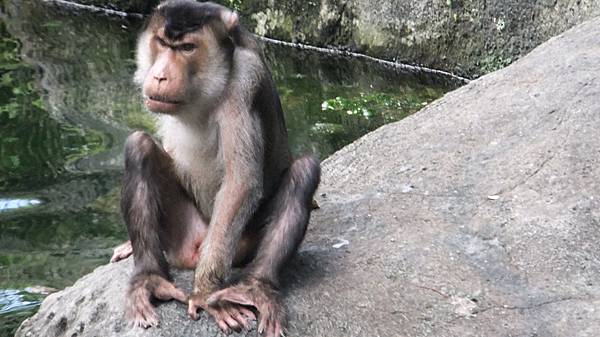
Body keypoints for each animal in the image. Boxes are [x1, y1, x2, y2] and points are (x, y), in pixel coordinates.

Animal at [109, 1, 322, 334]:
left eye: (187, 47)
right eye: (163, 43)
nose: (160, 77)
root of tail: (197, 246)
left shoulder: (244, 81)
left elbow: (241, 182)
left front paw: (206, 291)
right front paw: (128, 245)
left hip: (241, 243)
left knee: (304, 171)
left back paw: (256, 285)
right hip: (184, 233)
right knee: (138, 147)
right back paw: (149, 277)